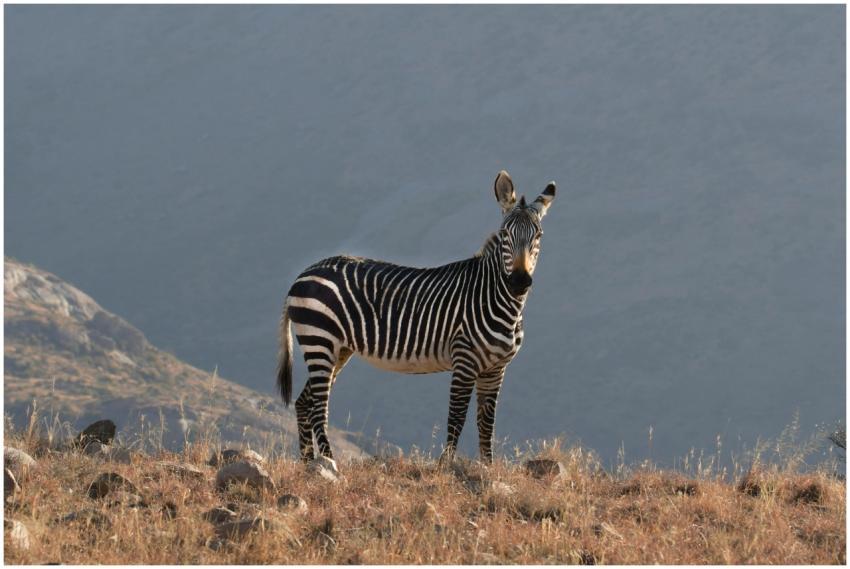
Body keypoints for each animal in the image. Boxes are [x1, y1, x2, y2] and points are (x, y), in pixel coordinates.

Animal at [276, 170, 556, 464]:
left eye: (539, 235)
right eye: (504, 234)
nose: (519, 282)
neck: (498, 300)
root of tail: (302, 274)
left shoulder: (496, 369)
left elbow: (486, 422)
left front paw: (487, 467)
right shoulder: (464, 361)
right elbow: (457, 418)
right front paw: (447, 465)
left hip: (337, 349)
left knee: (304, 402)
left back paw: (310, 464)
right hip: (320, 340)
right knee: (318, 406)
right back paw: (330, 463)